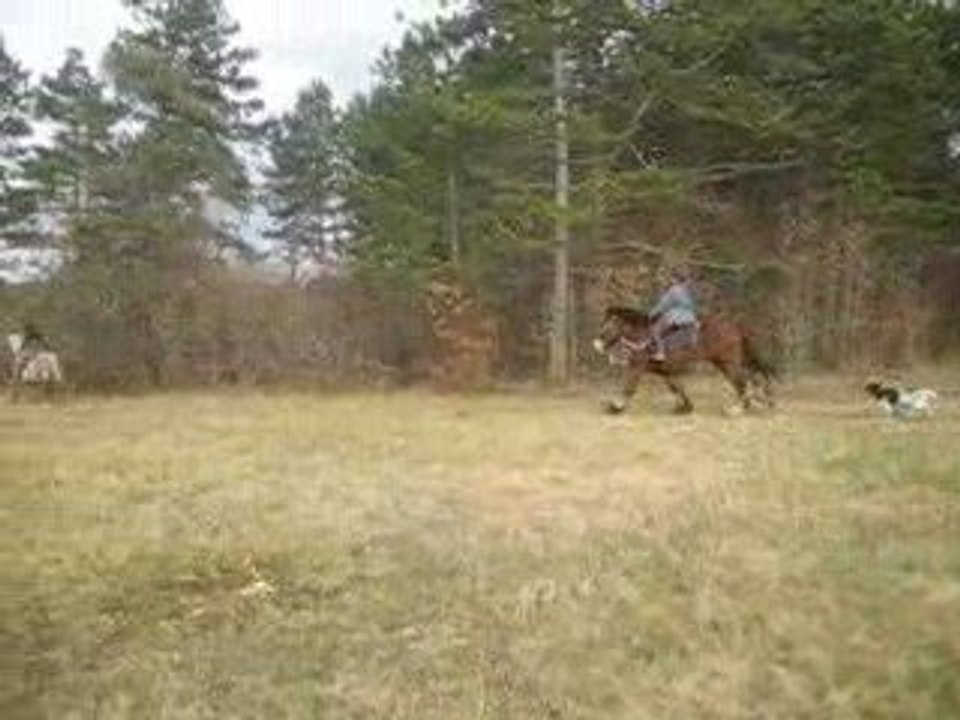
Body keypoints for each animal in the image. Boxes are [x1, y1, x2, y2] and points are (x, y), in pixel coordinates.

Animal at [593, 306, 776, 415]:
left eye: (610, 324)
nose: (597, 344)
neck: (642, 336)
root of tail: (736, 327)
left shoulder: (636, 367)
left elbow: (629, 387)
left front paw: (615, 407)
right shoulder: (667, 371)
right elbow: (677, 387)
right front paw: (685, 407)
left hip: (728, 364)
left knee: (742, 383)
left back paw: (739, 408)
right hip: (727, 363)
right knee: (752, 379)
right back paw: (762, 401)